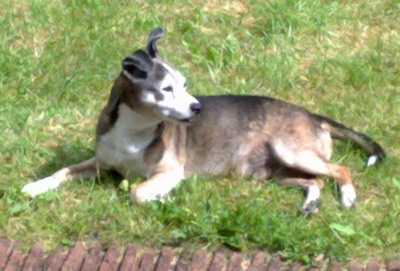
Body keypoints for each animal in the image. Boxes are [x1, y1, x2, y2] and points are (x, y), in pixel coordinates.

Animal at [21, 28, 384, 215]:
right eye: (166, 89)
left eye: (184, 83)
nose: (197, 108)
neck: (134, 129)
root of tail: (312, 115)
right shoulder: (101, 162)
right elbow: (64, 170)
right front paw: (37, 186)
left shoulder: (171, 173)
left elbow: (137, 191)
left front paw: (162, 199)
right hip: (267, 172)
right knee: (315, 181)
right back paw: (311, 202)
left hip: (292, 151)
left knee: (339, 169)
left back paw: (347, 196)